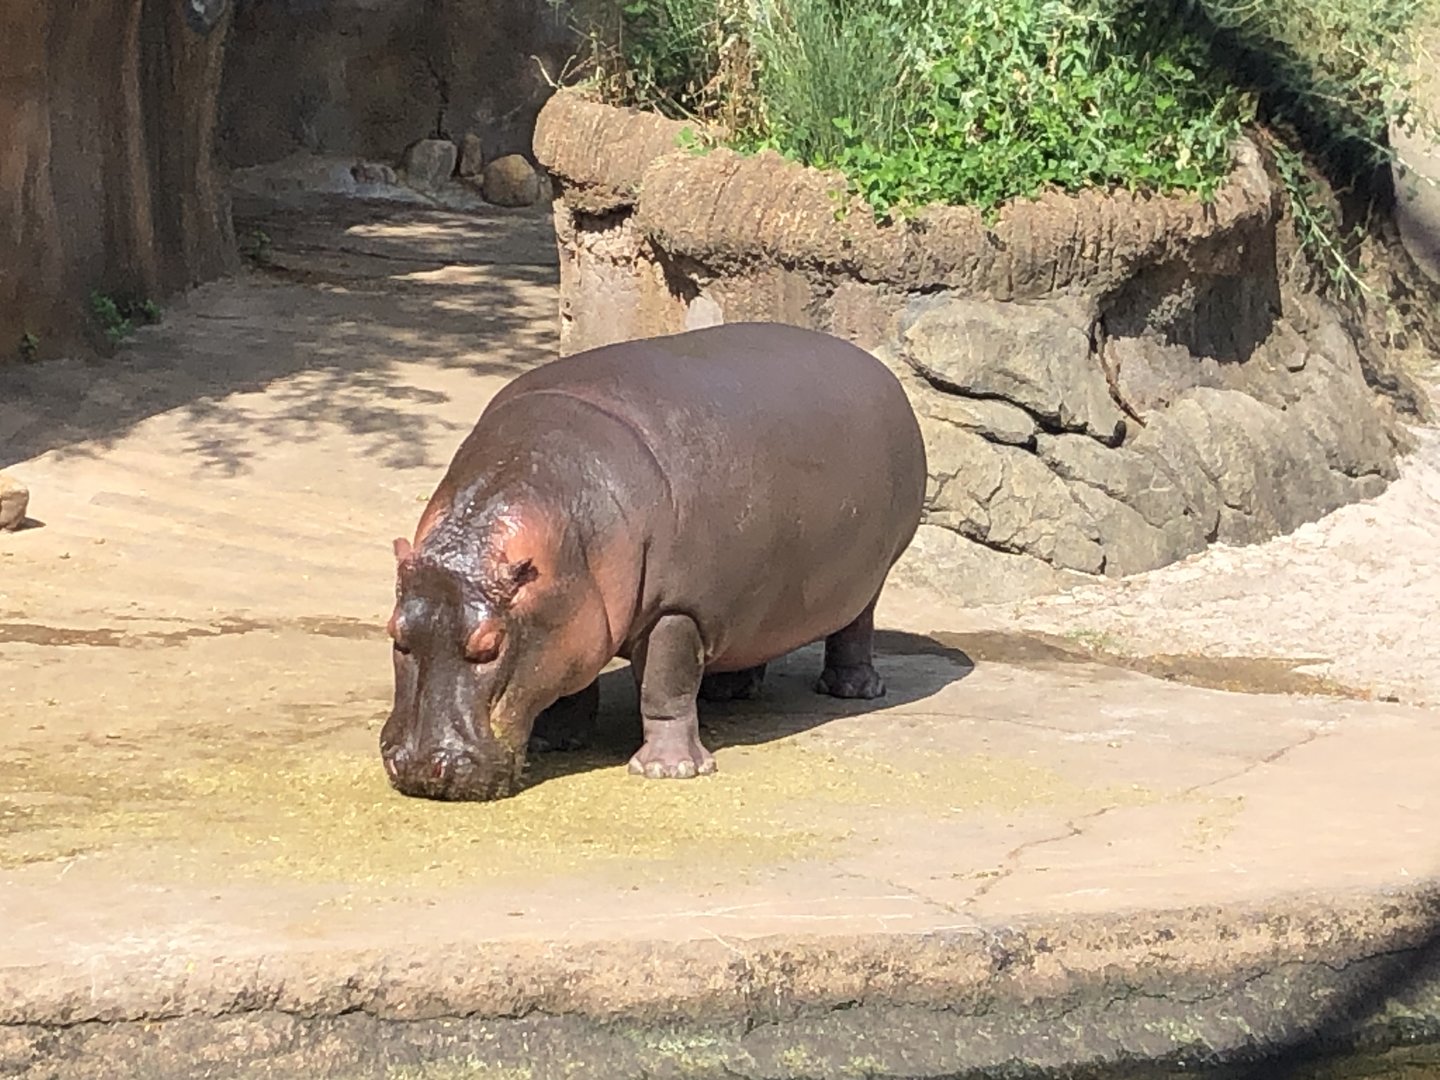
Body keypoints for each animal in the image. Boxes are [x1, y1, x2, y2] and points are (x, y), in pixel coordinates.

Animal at [381, 322, 927, 801]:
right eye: (396, 635)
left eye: (490, 646)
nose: (420, 767)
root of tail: (873, 366)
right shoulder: (574, 618)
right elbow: (565, 680)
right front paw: (554, 741)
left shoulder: (678, 609)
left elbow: (666, 685)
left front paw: (671, 771)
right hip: (753, 592)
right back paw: (728, 690)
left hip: (872, 575)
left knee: (856, 627)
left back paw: (852, 690)